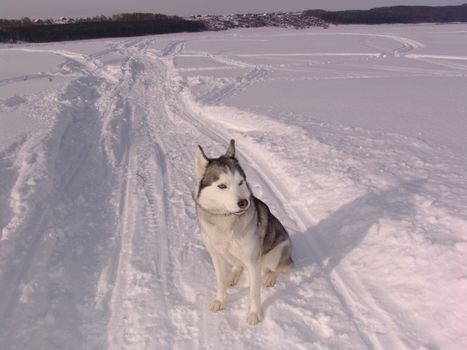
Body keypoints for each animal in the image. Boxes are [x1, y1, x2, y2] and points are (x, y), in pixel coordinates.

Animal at [193, 139, 292, 326]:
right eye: (222, 186)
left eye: (240, 183)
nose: (244, 202)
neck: (226, 221)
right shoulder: (216, 255)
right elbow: (220, 282)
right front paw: (220, 300)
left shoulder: (253, 261)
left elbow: (254, 293)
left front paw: (254, 313)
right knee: (238, 265)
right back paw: (233, 276)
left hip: (274, 254)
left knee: (282, 268)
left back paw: (269, 278)